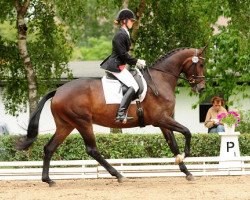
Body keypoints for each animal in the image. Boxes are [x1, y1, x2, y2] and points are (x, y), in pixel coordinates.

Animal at [17, 46, 205, 186]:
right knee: (92, 149)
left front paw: (187, 172)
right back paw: (119, 175)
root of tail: (58, 90)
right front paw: (185, 155)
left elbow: (173, 144)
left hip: (66, 125)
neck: (161, 79)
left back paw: (48, 180)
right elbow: (187, 132)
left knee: (49, 148)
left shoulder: (163, 122)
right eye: (201, 64)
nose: (201, 88)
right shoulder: (161, 119)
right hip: (82, 122)